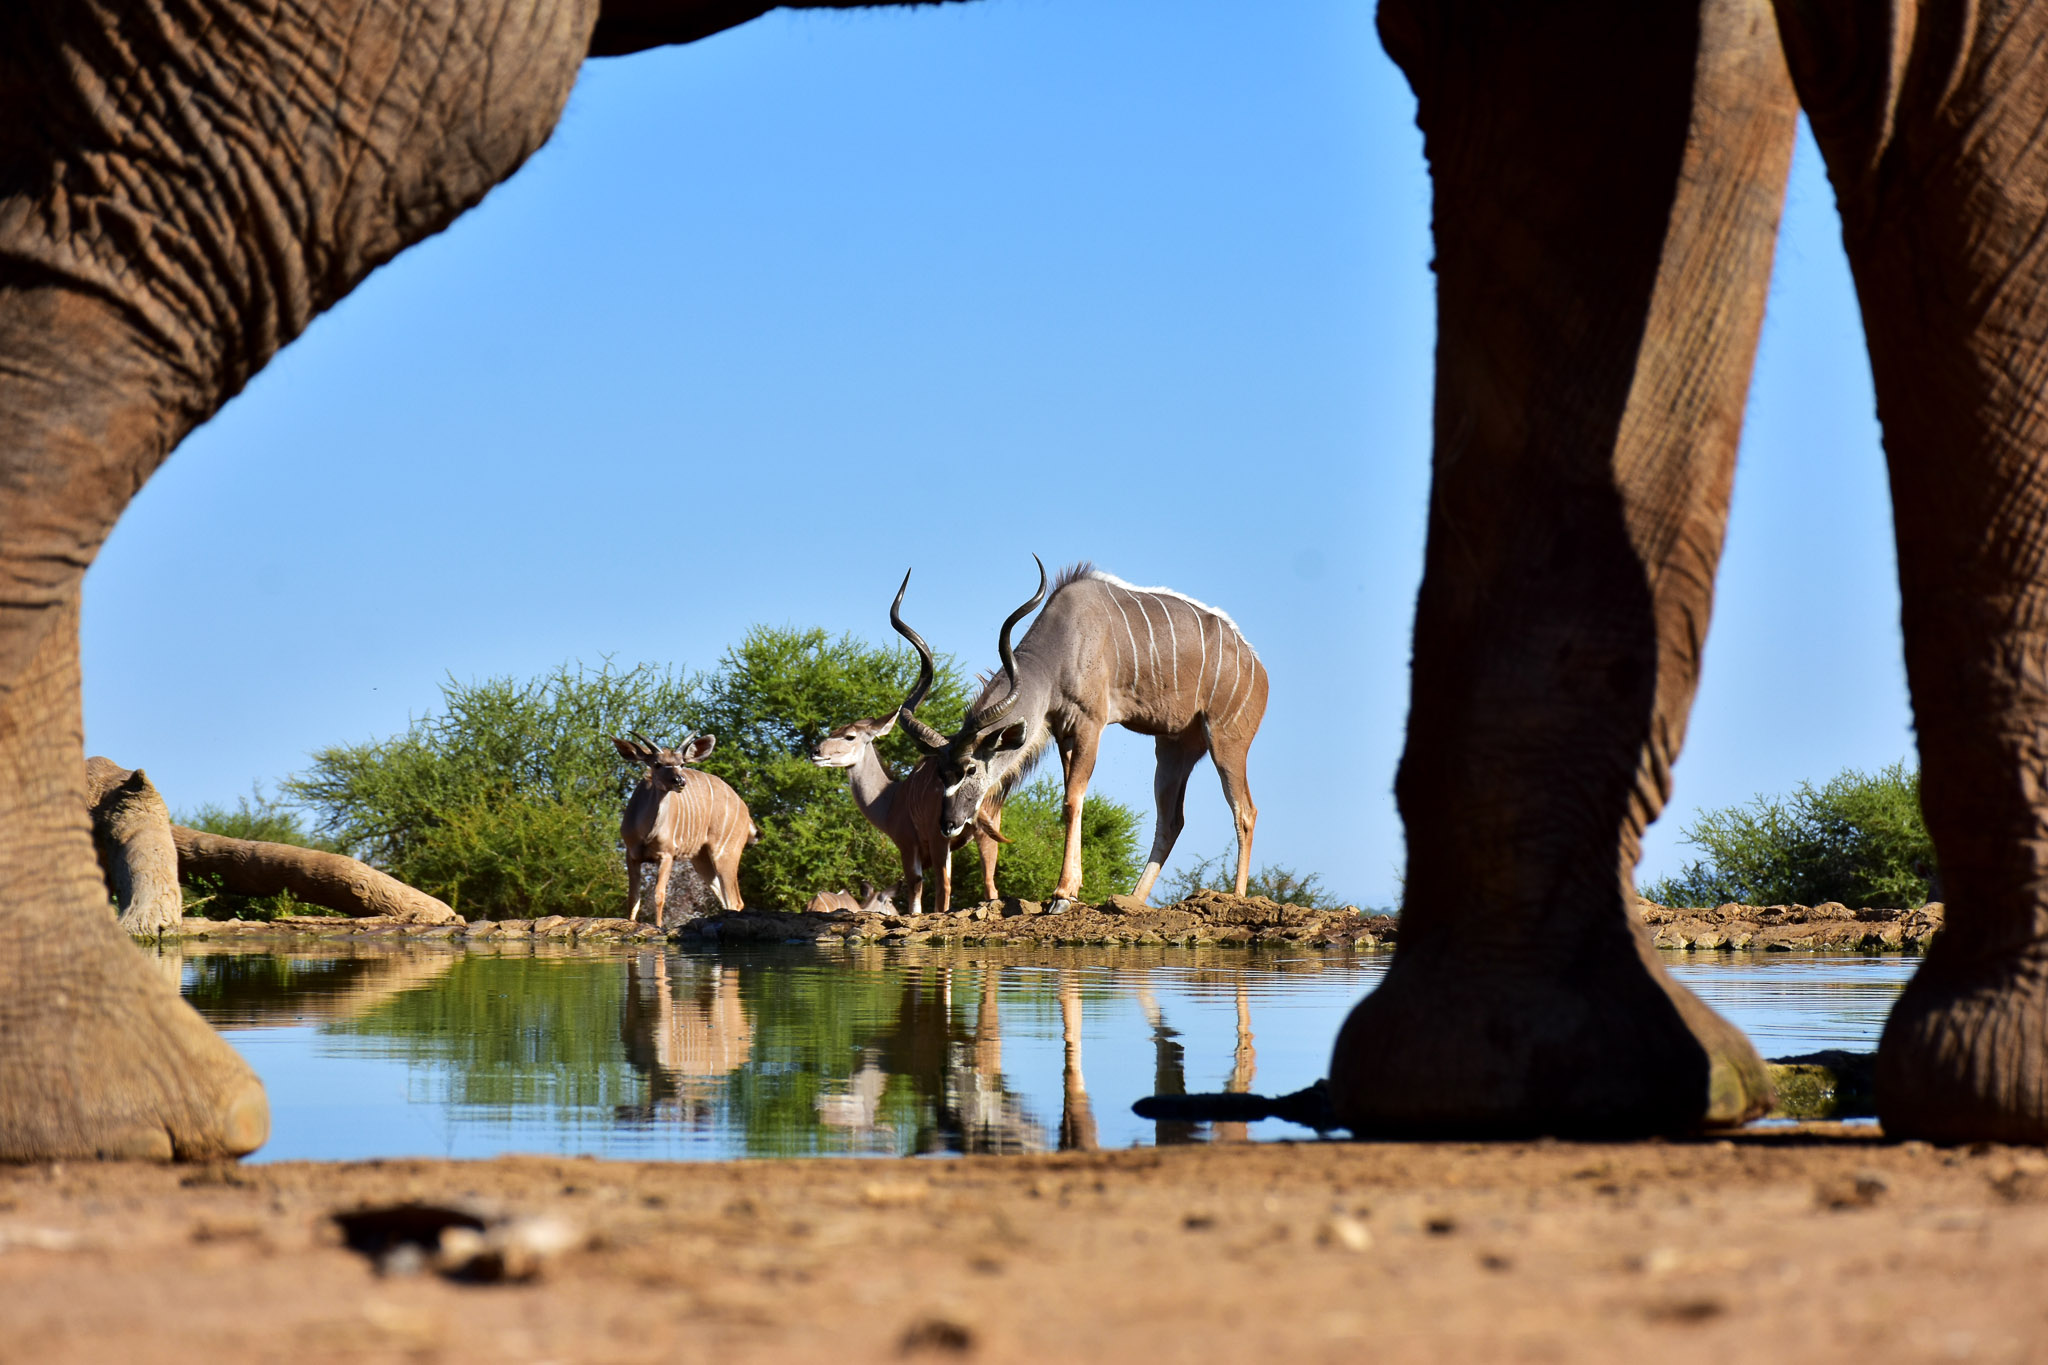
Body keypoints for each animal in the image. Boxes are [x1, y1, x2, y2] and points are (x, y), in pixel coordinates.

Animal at [3, 0, 2047, 1160]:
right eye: (921, 736)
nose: (922, 799)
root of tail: (1256, 650)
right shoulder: (1034, 754)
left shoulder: (1063, 733)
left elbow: (1035, 841)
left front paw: (1039, 930)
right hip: (1171, 741)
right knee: (1173, 814)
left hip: (1220, 735)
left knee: (1236, 811)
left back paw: (1200, 914)